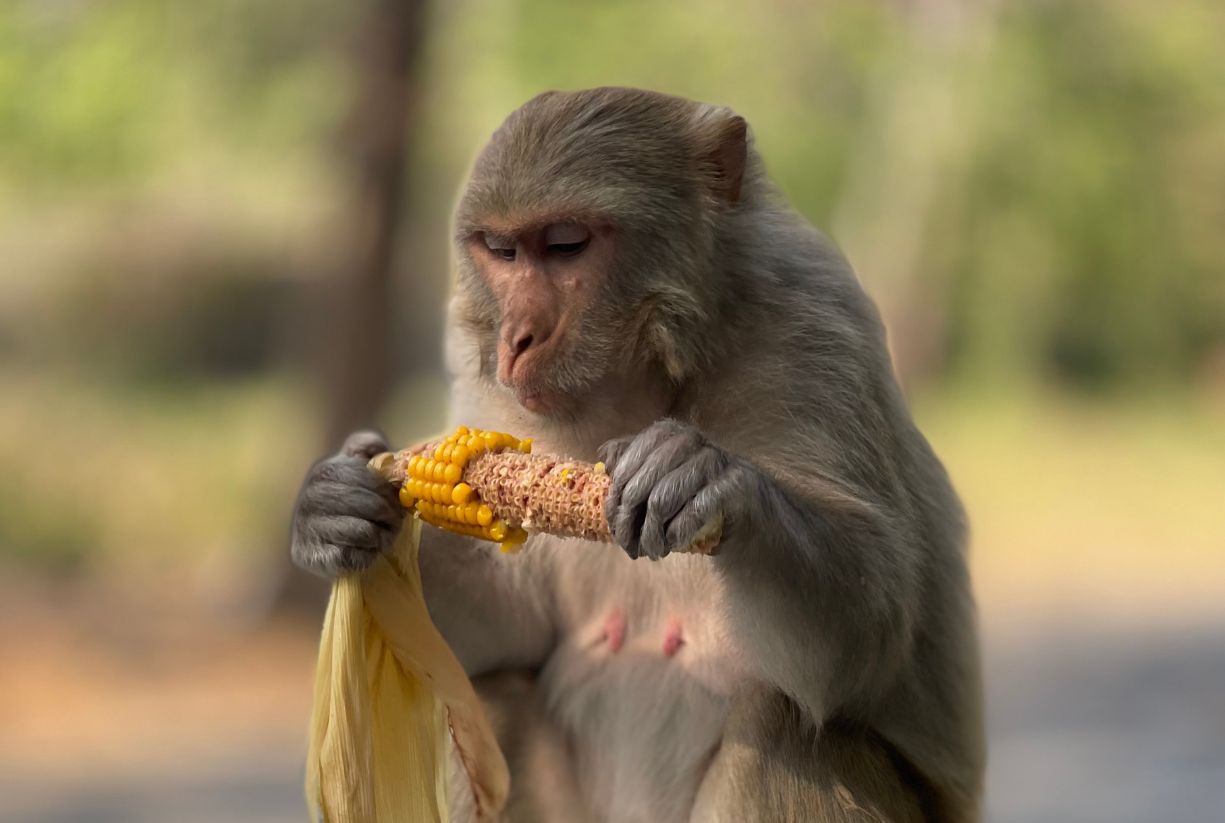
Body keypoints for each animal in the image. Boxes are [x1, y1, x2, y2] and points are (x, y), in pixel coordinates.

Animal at [294, 86, 984, 818]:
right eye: (501, 251)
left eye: (565, 246)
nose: (516, 337)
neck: (656, 380)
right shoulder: (494, 396)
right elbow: (503, 628)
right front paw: (335, 510)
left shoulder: (815, 332)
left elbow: (866, 639)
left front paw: (707, 479)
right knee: (498, 691)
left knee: (781, 721)